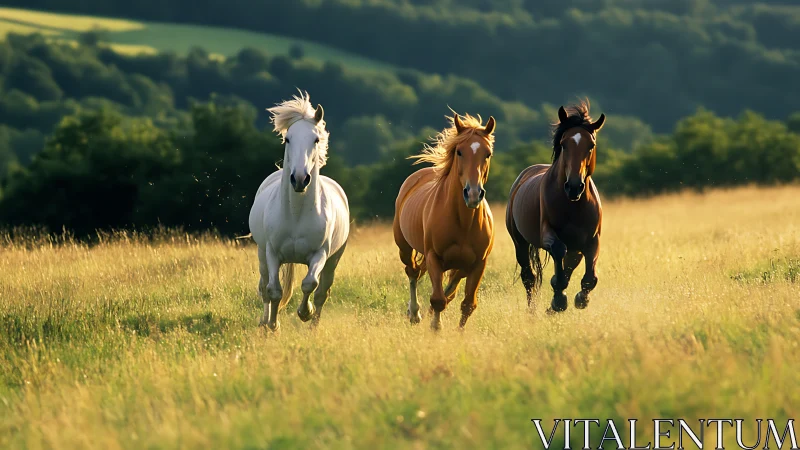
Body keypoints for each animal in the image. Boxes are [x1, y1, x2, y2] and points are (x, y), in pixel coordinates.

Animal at [248, 91, 350, 330]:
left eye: (316, 139)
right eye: (288, 139)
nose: (300, 179)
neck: (296, 214)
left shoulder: (320, 254)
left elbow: (310, 284)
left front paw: (305, 313)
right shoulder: (272, 253)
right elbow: (274, 291)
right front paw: (273, 325)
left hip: (333, 260)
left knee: (322, 291)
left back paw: (313, 326)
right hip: (261, 254)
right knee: (264, 287)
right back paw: (264, 323)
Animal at [393, 111, 496, 331]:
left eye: (488, 154)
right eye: (459, 152)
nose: (473, 194)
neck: (463, 222)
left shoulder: (478, 264)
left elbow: (467, 304)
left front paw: (459, 332)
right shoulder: (434, 257)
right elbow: (438, 299)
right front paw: (435, 328)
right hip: (404, 247)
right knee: (412, 272)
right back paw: (414, 314)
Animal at [506, 101, 605, 313]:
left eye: (591, 145)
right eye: (563, 144)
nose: (574, 186)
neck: (573, 205)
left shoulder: (592, 239)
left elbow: (589, 278)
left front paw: (580, 299)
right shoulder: (547, 233)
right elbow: (559, 251)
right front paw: (559, 300)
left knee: (568, 265)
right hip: (520, 242)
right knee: (529, 277)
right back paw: (533, 311)